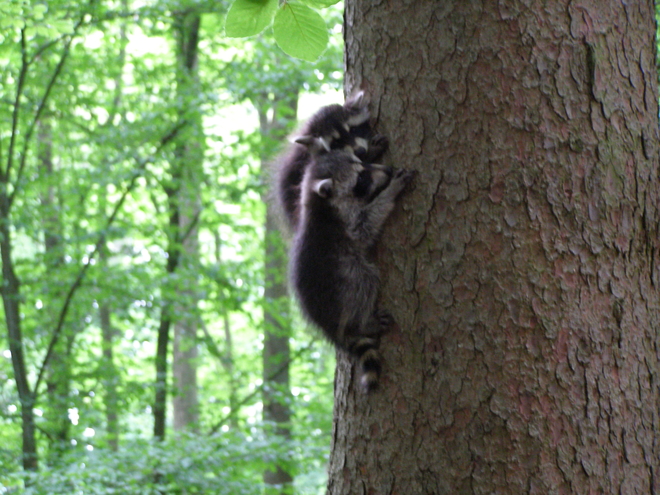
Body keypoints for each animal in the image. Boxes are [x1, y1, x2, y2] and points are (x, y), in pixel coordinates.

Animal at [288, 150, 412, 392]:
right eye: (361, 178)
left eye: (362, 162)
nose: (387, 170)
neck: (319, 202)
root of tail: (329, 326)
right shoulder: (346, 221)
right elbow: (365, 225)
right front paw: (389, 193)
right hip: (340, 281)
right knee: (363, 281)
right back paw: (364, 322)